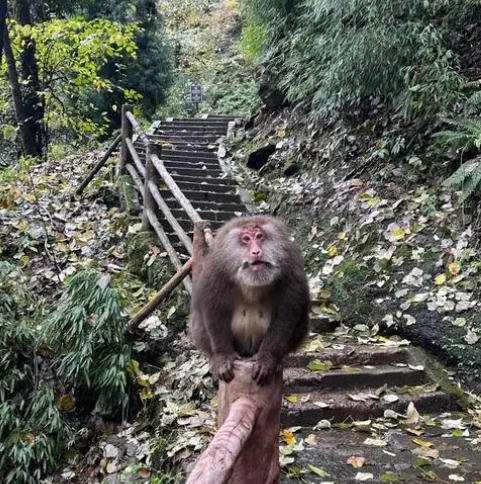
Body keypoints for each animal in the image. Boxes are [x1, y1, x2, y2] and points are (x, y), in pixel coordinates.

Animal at [189, 215, 310, 385]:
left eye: (259, 236)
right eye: (246, 239)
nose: (256, 252)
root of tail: (247, 353)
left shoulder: (291, 273)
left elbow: (286, 315)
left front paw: (266, 359)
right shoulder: (216, 273)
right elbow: (213, 310)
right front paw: (223, 357)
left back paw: (278, 361)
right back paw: (214, 359)